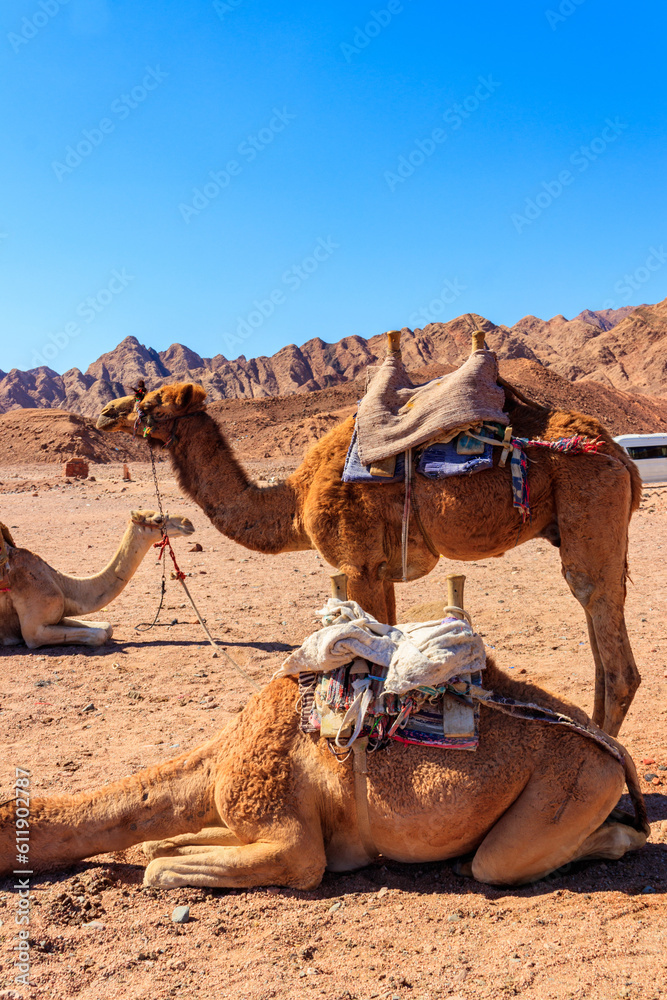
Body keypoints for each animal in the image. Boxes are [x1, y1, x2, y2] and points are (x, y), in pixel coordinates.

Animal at [0, 509, 194, 648]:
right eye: (159, 519)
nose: (188, 523)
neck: (61, 583)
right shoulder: (34, 631)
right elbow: (99, 635)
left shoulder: (58, 617)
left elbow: (106, 627)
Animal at [0, 656, 648, 887]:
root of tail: (615, 751)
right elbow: (164, 844)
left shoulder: (286, 831)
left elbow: (160, 869)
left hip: (575, 783)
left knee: (500, 863)